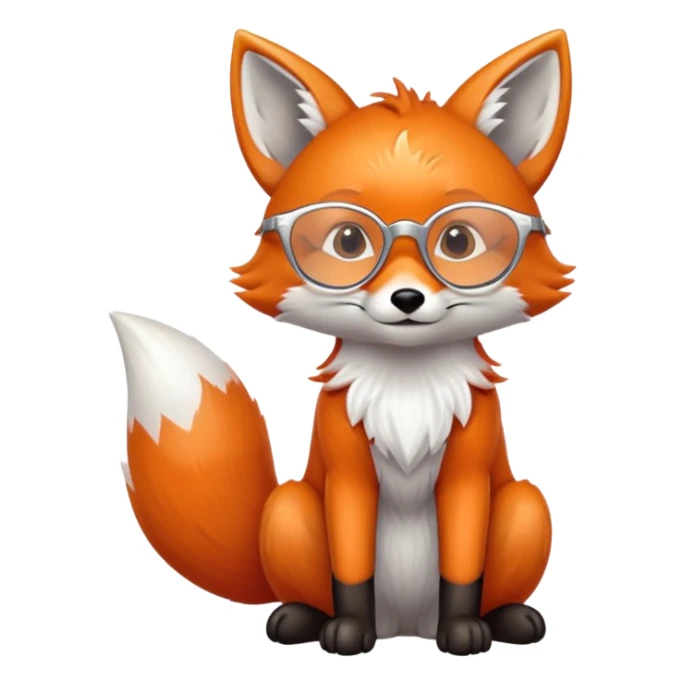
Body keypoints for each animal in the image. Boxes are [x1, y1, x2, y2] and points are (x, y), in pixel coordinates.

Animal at [110, 29, 574, 657]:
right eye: (349, 240)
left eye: (458, 240)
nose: (407, 299)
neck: (408, 394)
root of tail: (406, 625)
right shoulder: (346, 471)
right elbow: (352, 570)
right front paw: (350, 631)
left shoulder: (468, 473)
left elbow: (462, 570)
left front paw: (463, 631)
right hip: (290, 507)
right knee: (308, 587)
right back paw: (302, 618)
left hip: (527, 505)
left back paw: (507, 619)